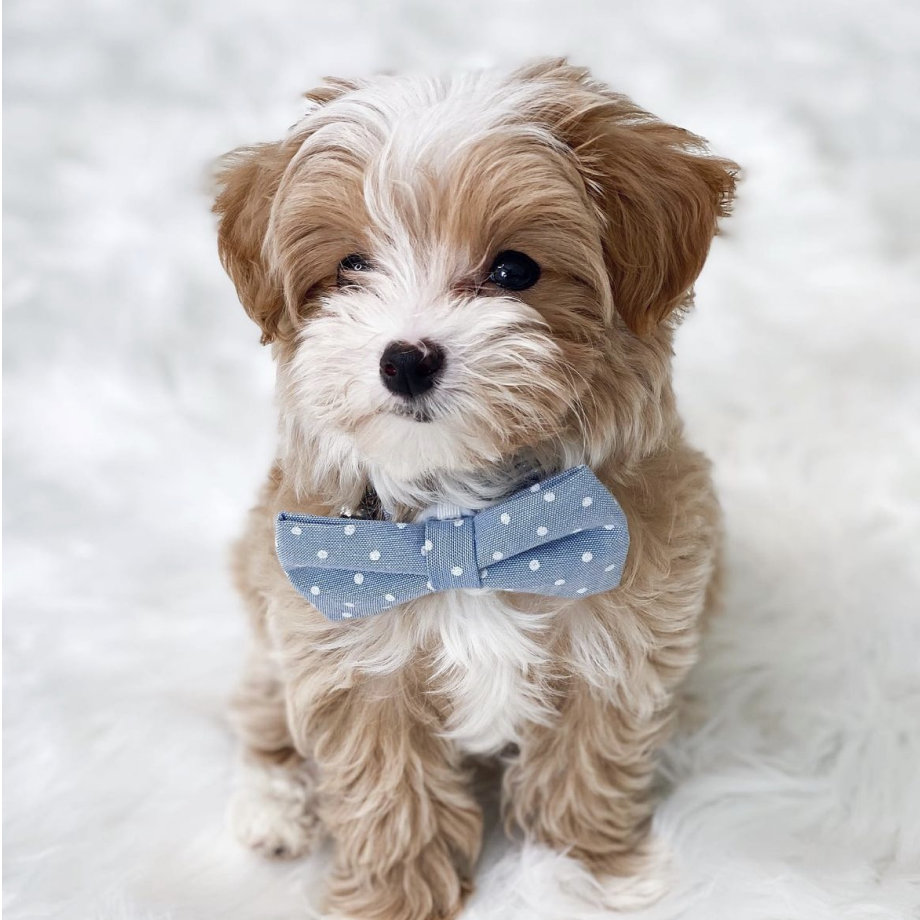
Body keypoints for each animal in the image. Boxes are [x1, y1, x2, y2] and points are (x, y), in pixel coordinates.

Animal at [212, 57, 736, 920]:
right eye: (352, 266)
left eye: (514, 270)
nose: (406, 358)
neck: (461, 525)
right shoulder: (349, 652)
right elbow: (390, 793)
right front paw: (392, 899)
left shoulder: (620, 635)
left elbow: (587, 761)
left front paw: (586, 874)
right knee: (261, 712)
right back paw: (273, 807)